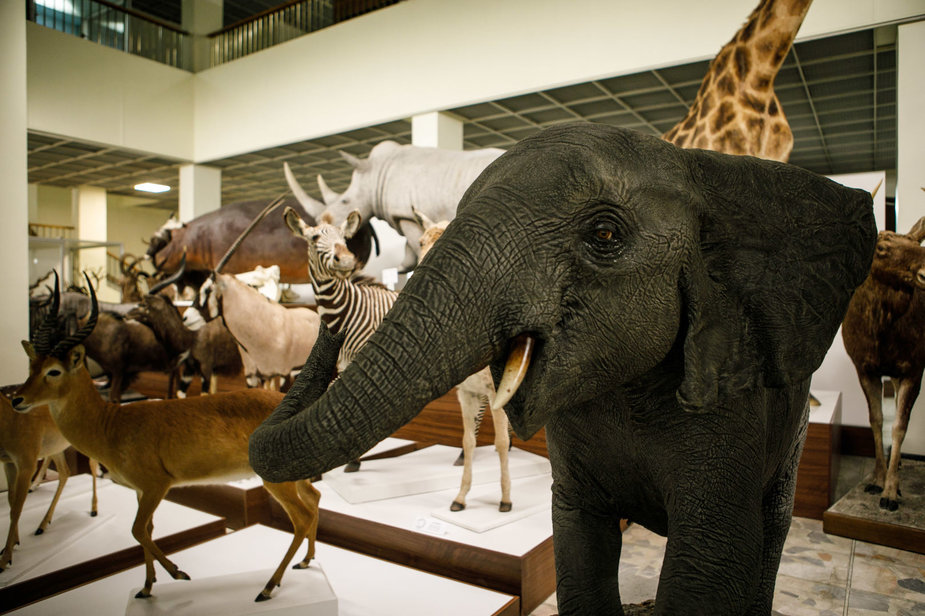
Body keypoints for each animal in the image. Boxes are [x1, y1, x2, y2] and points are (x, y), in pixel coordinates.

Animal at [0, 394, 99, 572]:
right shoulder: (8, 463)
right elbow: (12, 502)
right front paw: (12, 544)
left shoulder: (27, 462)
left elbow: (17, 508)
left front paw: (5, 559)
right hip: (57, 446)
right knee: (65, 472)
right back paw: (43, 524)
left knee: (92, 464)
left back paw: (94, 509)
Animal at [251, 122, 872, 612]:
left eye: (605, 234)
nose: (341, 263)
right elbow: (575, 545)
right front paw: (464, 494)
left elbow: (709, 568)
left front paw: (492, 499)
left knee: (774, 528)